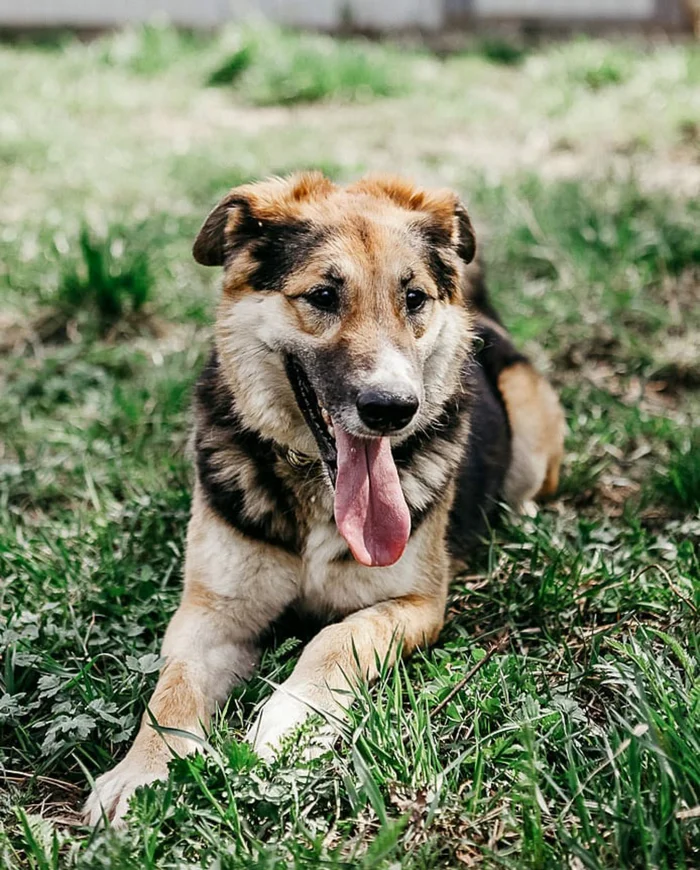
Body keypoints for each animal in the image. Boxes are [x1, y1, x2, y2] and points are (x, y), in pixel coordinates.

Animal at [83, 174, 564, 828]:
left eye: (414, 299)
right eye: (323, 295)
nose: (393, 409)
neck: (318, 488)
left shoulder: (416, 605)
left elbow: (336, 639)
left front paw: (289, 722)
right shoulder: (210, 615)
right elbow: (172, 690)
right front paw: (143, 771)